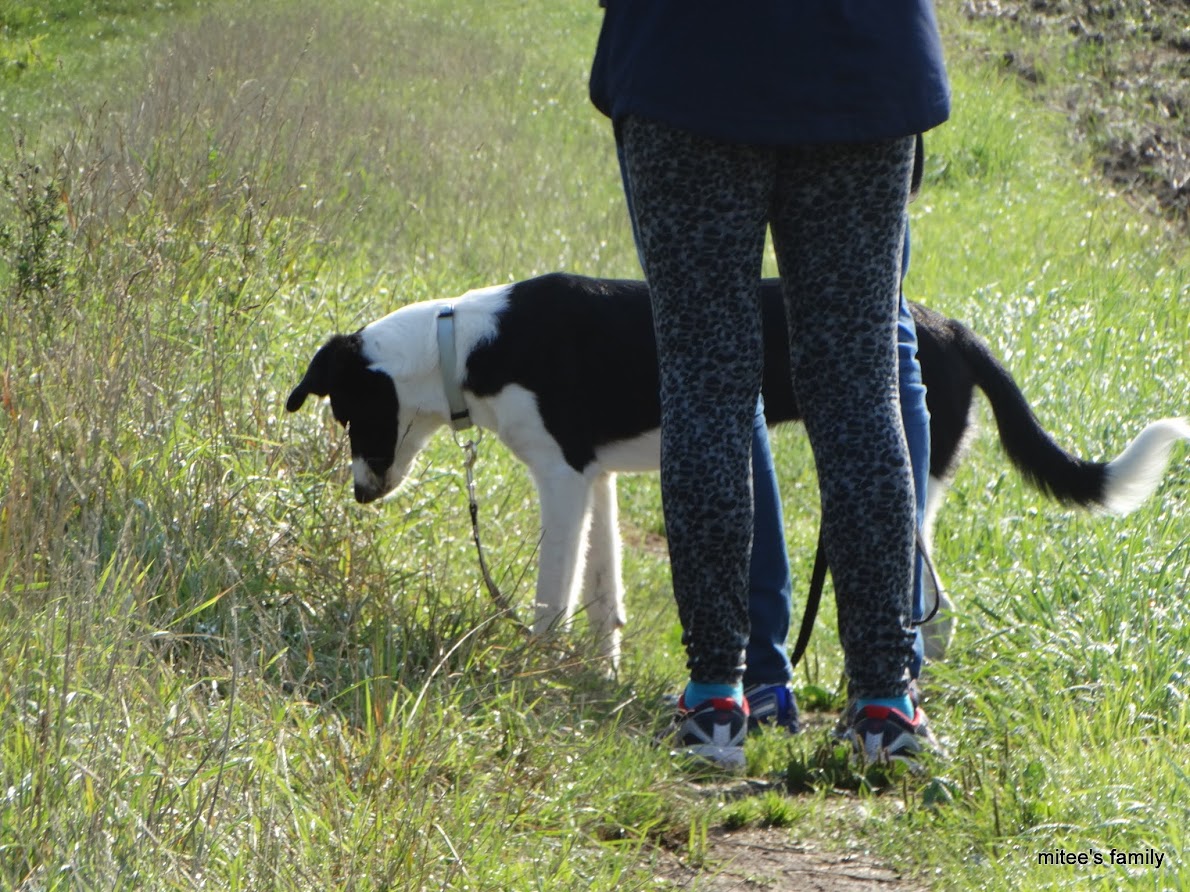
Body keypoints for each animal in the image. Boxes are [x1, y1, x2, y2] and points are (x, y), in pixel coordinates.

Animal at [287, 275, 1190, 666]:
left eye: (344, 414)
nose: (359, 495)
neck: (466, 341)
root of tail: (952, 329)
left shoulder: (563, 482)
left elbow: (553, 601)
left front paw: (530, 675)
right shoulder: (598, 481)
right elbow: (605, 600)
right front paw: (597, 678)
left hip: (902, 486)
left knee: (936, 616)